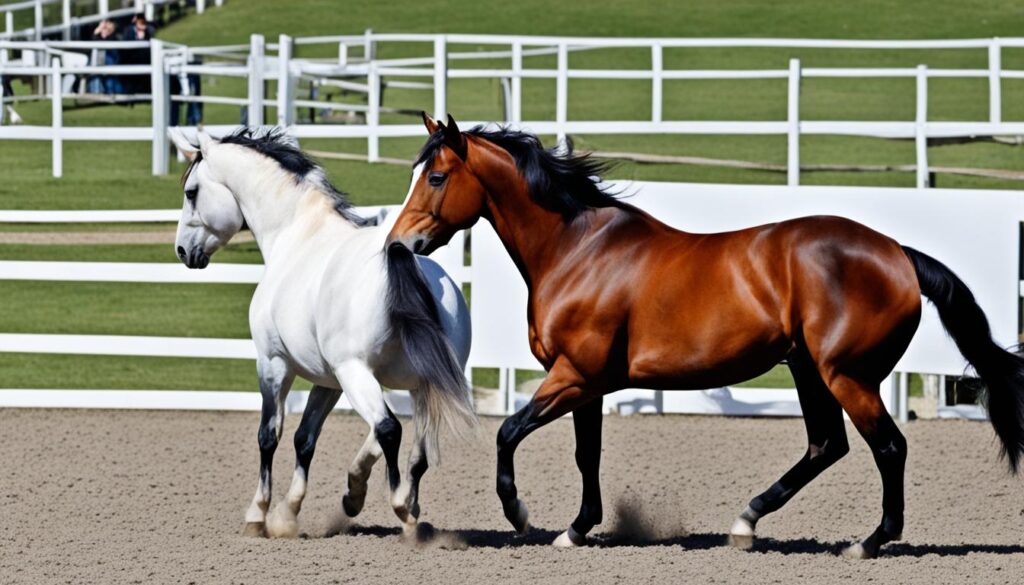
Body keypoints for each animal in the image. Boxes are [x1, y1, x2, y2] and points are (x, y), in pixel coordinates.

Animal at [167, 128, 475, 540]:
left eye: (191, 192)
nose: (183, 250)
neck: (297, 234)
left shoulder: (273, 364)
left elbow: (270, 434)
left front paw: (260, 514)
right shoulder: (328, 381)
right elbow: (305, 438)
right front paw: (292, 509)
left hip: (358, 375)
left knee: (388, 428)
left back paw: (401, 509)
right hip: (418, 384)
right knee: (416, 447)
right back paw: (386, 500)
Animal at [387, 113, 1024, 557]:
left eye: (437, 177)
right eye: (414, 175)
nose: (400, 244)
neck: (578, 251)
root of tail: (897, 253)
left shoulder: (574, 376)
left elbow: (509, 433)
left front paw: (521, 515)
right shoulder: (585, 384)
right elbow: (585, 454)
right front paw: (577, 529)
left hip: (848, 375)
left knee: (887, 447)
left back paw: (866, 543)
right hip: (809, 369)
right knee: (826, 445)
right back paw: (746, 521)